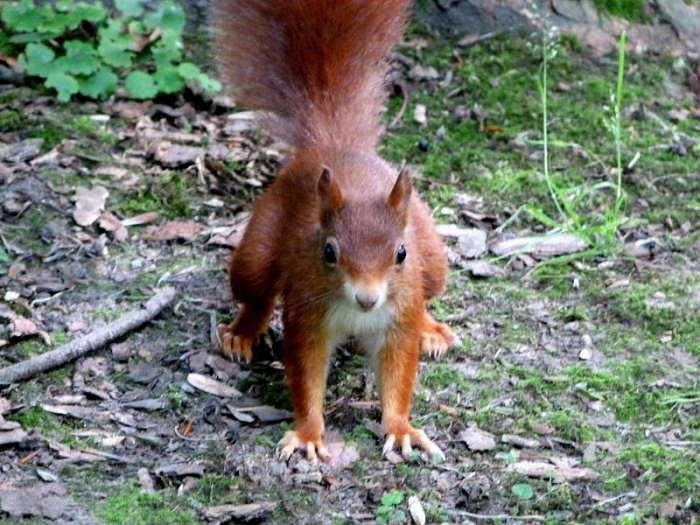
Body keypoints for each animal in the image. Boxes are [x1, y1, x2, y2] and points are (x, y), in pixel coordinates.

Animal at [212, 0, 458, 462]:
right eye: (328, 252)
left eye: (401, 254)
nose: (367, 298)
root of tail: (333, 148)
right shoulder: (307, 314)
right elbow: (306, 372)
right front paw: (308, 433)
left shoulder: (399, 317)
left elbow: (398, 372)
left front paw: (400, 428)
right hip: (259, 248)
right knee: (255, 291)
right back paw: (241, 333)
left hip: (434, 263)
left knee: (430, 293)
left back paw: (431, 329)